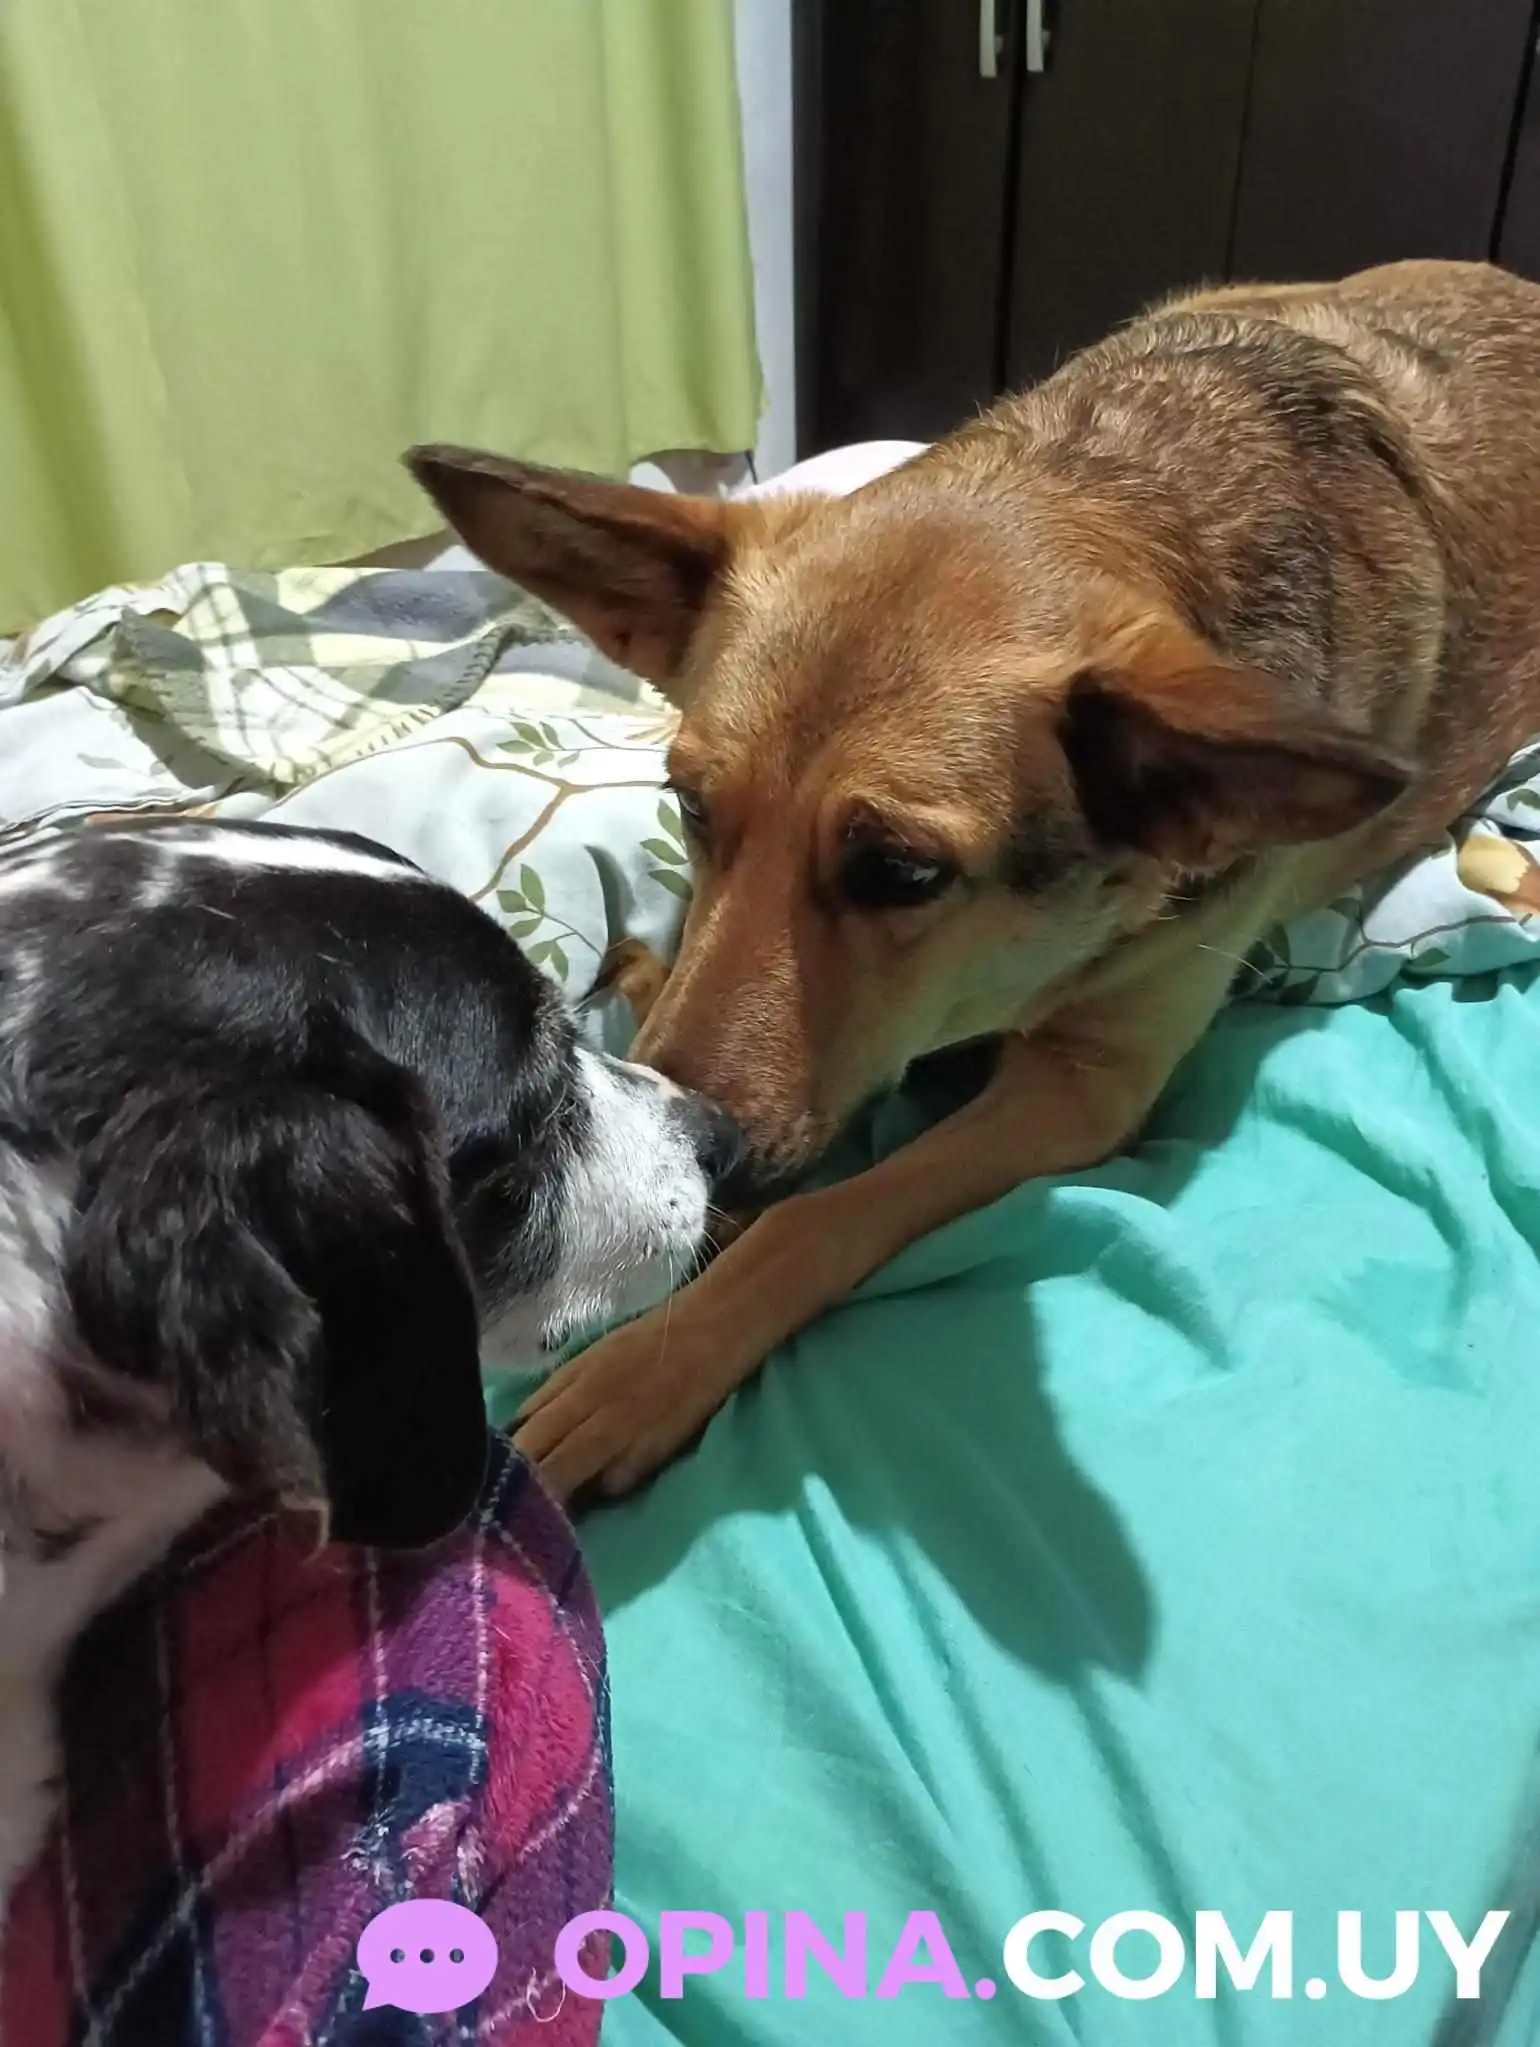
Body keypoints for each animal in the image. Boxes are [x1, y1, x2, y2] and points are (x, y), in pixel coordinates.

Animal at [408, 258, 1540, 1502]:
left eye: (902, 872)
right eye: (691, 807)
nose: (703, 1159)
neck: (1120, 481)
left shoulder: (1083, 1088)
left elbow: (822, 1217)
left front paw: (649, 1364)